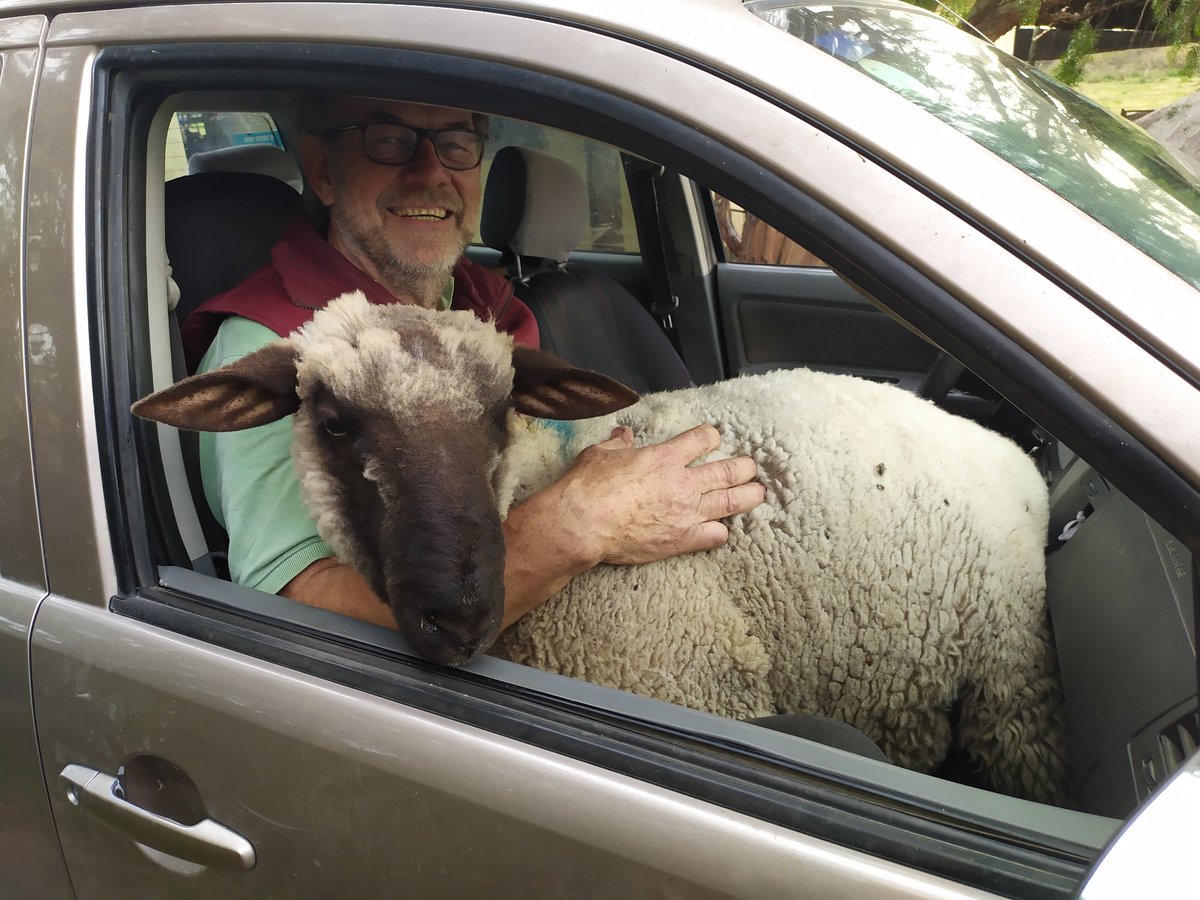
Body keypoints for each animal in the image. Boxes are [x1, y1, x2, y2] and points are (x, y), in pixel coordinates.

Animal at [133, 291, 1069, 804]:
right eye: (332, 422)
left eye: (501, 413)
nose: (459, 612)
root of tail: (1018, 459)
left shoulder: (690, 678)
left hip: (1010, 677)